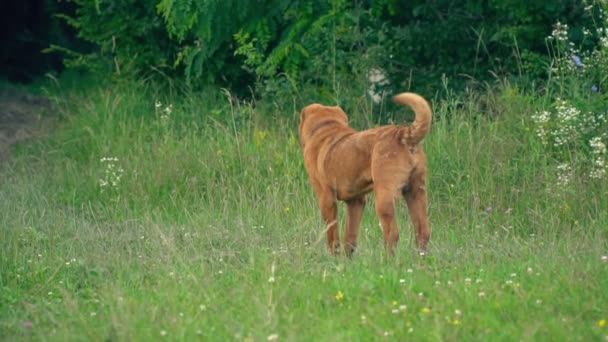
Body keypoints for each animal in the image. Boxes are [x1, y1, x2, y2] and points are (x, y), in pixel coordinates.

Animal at [300, 92, 432, 255]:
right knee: (422, 232)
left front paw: (333, 257)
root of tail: (405, 133)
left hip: (384, 198)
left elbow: (332, 235)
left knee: (392, 234)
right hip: (416, 192)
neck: (326, 127)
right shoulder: (356, 201)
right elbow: (350, 236)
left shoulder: (326, 199)